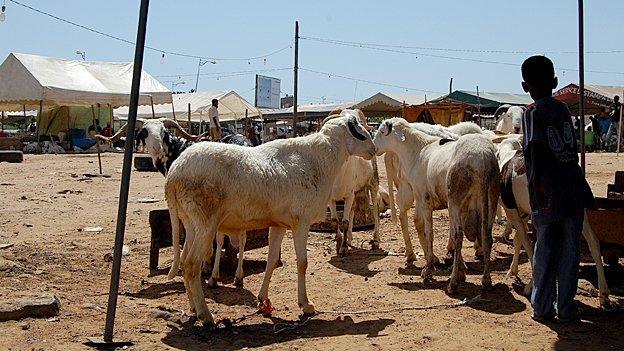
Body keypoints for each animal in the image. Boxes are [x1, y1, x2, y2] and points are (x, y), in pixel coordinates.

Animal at [163, 115, 376, 324]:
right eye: (360, 133)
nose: (373, 150)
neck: (320, 159)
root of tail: (174, 172)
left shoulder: (279, 225)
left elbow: (271, 261)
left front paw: (263, 299)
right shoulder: (301, 222)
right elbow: (302, 263)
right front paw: (305, 305)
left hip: (190, 222)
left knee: (184, 262)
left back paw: (193, 308)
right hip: (206, 222)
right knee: (192, 265)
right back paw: (205, 315)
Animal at [322, 108, 380, 254]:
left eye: (360, 122)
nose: (373, 147)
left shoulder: (348, 195)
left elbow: (345, 221)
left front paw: (343, 249)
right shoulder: (332, 198)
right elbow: (335, 220)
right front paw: (339, 244)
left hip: (373, 183)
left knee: (375, 211)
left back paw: (376, 240)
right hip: (355, 191)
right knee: (353, 211)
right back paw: (349, 239)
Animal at [372, 118, 500, 294]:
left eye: (382, 131)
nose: (373, 147)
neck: (416, 150)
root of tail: (482, 160)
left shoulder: (424, 198)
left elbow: (429, 232)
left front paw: (429, 269)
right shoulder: (465, 204)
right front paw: (460, 269)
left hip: (454, 197)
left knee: (458, 235)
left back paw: (452, 284)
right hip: (491, 195)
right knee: (486, 234)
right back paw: (486, 281)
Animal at [498, 139, 608, 306]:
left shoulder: (511, 207)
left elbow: (525, 241)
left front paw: (524, 281)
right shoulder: (523, 212)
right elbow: (518, 240)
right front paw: (513, 270)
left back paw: (533, 287)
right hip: (579, 211)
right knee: (593, 242)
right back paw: (604, 294)